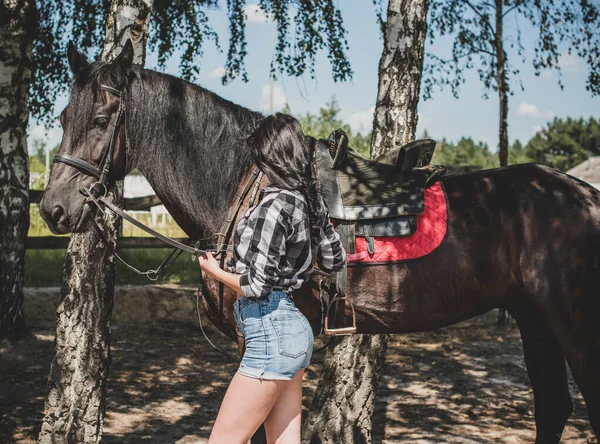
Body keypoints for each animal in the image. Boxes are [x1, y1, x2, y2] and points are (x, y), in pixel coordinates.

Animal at [39, 42, 596, 444]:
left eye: (100, 120)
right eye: (63, 117)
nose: (53, 209)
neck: (245, 184)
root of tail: (583, 194)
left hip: (572, 325)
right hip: (533, 318)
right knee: (553, 407)